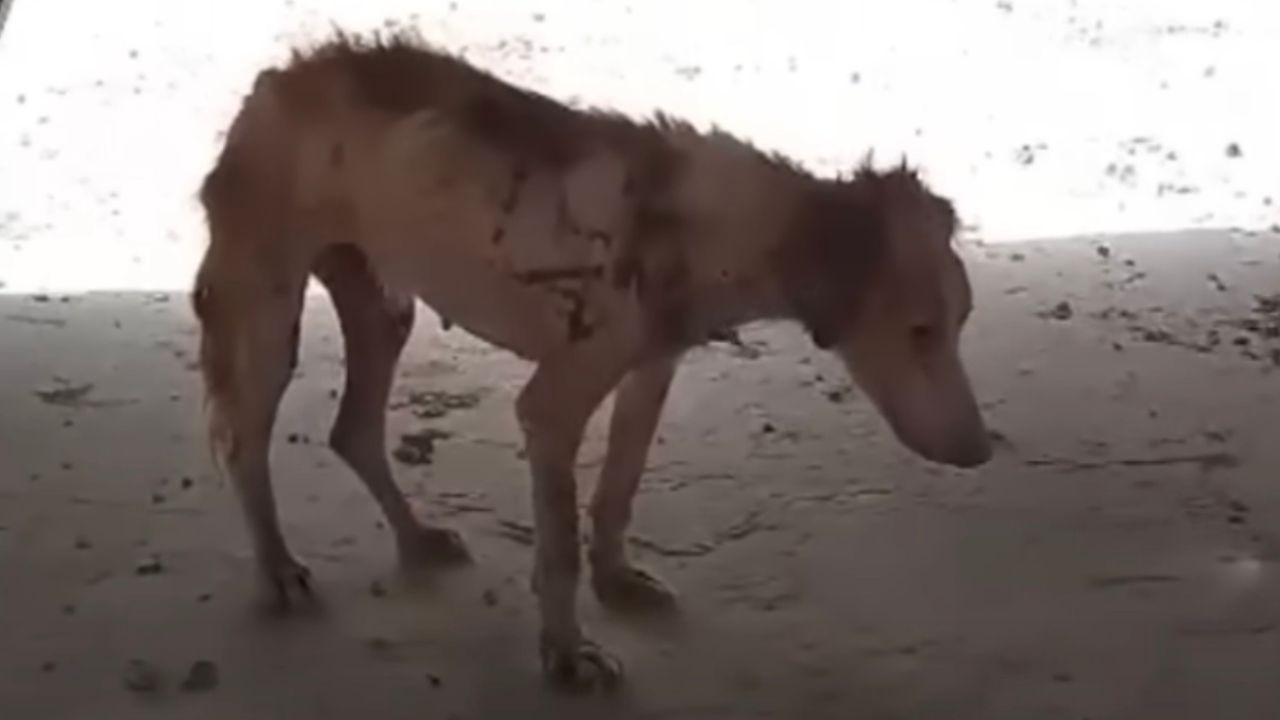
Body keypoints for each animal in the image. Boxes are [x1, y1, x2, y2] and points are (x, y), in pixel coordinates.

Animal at [189, 30, 993, 691]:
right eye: (919, 331)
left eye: (961, 322)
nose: (981, 452)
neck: (700, 226)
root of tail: (276, 77)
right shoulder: (551, 407)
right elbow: (559, 552)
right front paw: (568, 655)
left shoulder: (652, 369)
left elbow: (618, 491)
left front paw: (619, 582)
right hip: (269, 315)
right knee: (241, 438)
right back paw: (279, 570)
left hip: (384, 307)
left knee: (352, 431)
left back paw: (416, 540)